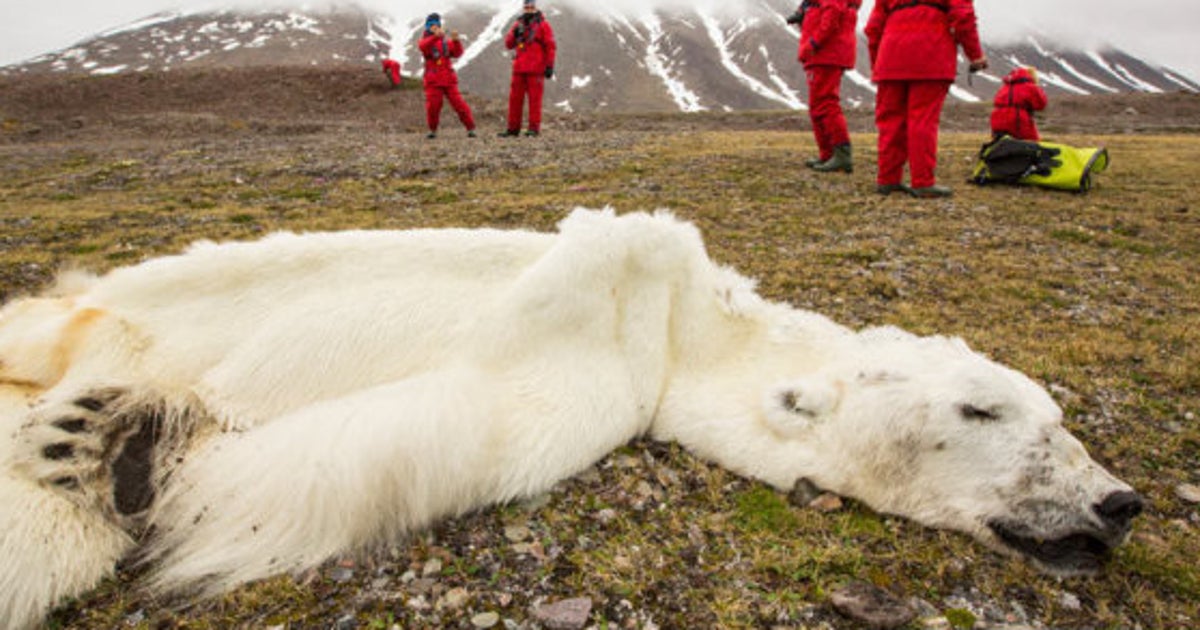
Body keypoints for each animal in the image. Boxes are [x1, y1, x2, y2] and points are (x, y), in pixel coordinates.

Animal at [0, 206, 1142, 624]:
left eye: (1059, 419)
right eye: (984, 408)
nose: (1119, 502)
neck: (683, 330)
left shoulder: (594, 391)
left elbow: (410, 435)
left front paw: (135, 448)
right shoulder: (619, 305)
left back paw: (89, 441)